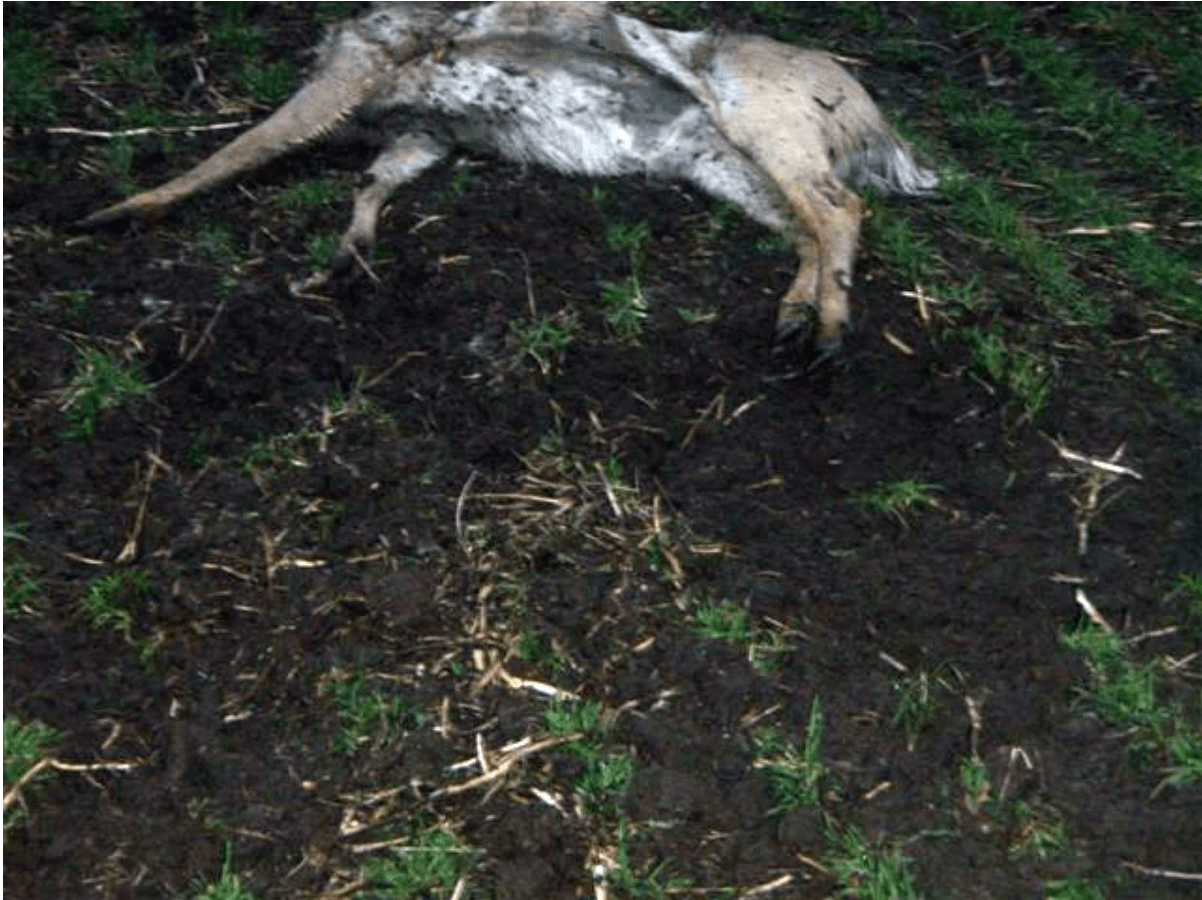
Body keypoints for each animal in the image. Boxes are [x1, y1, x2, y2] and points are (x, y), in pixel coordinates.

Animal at [82, 4, 937, 355]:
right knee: (809, 224)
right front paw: (344, 259)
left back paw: (828, 330)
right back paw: (794, 319)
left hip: (766, 128)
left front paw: (120, 210)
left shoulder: (350, 80)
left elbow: (245, 146)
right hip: (719, 163)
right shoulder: (423, 131)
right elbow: (372, 183)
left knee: (841, 207)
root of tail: (875, 122)